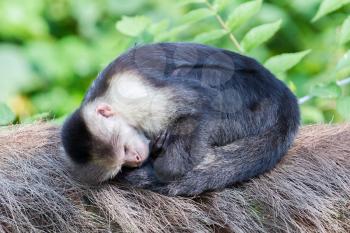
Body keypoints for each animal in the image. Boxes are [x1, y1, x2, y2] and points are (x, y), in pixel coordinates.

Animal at [60, 42, 300, 197]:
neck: (106, 98)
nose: (136, 159)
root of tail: (281, 94)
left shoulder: (131, 93)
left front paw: (163, 167)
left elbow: (201, 104)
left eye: (124, 149)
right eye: (122, 164)